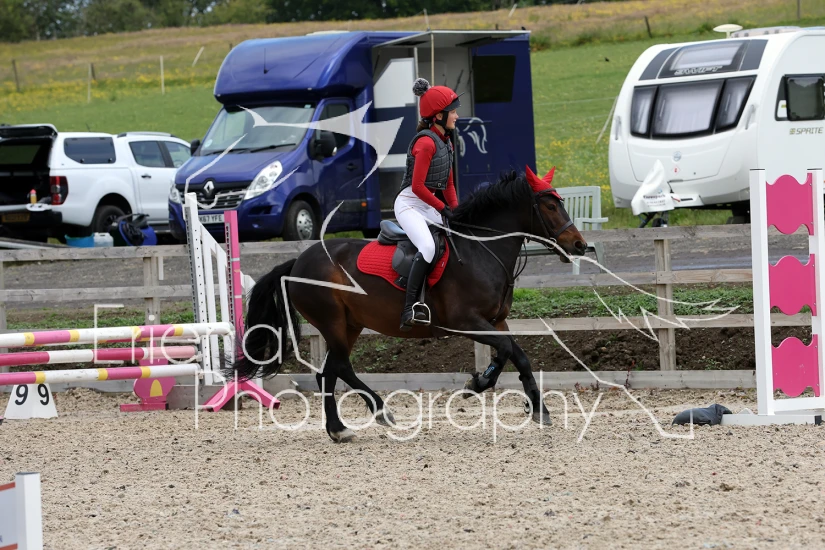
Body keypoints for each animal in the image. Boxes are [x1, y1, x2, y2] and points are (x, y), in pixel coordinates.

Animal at [231, 167, 587, 441]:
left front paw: (507, 395)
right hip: (332, 321)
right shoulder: (466, 322)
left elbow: (511, 353)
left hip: (350, 323)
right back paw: (368, 416)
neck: (481, 250)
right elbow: (513, 352)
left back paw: (346, 425)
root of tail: (298, 262)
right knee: (339, 367)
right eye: (550, 206)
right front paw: (507, 396)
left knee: (329, 372)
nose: (579, 245)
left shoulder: (496, 321)